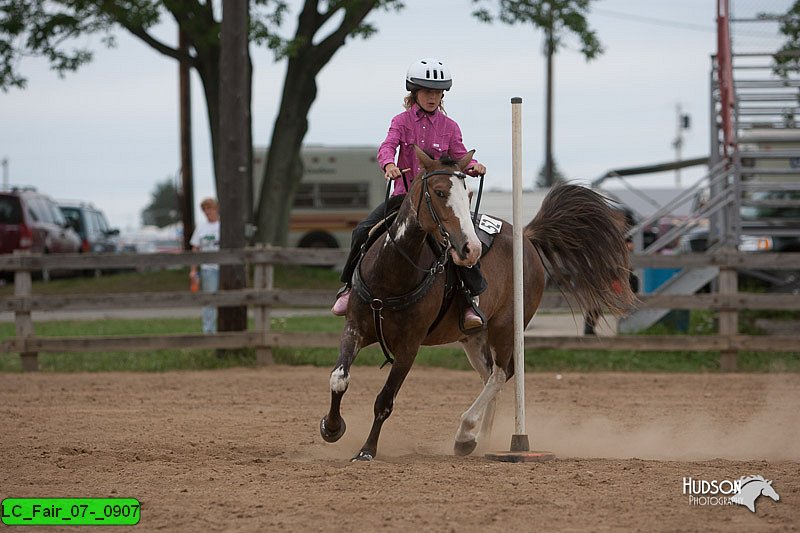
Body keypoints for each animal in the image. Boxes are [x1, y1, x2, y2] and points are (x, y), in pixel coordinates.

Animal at [318, 144, 632, 458]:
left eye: (467, 192)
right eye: (440, 192)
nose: (471, 248)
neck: (392, 274)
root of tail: (526, 237)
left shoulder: (410, 346)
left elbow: (385, 400)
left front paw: (367, 450)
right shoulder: (354, 328)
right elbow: (338, 378)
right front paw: (331, 428)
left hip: (506, 328)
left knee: (501, 374)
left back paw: (467, 433)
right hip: (473, 337)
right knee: (491, 375)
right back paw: (480, 438)